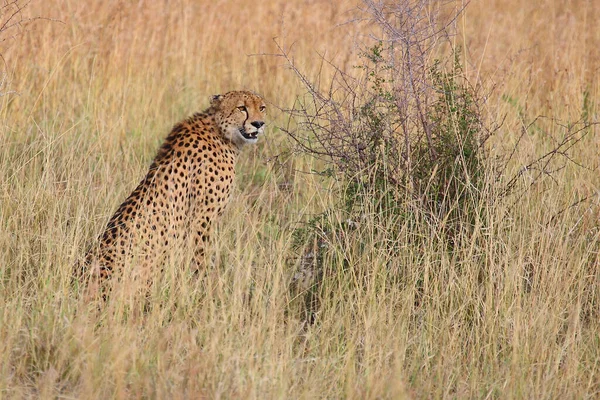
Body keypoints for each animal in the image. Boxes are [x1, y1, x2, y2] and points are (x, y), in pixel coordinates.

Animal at [78, 90, 266, 288]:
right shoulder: (202, 219)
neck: (220, 132)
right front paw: (203, 287)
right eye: (241, 108)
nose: (259, 124)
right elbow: (200, 259)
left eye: (262, 108)